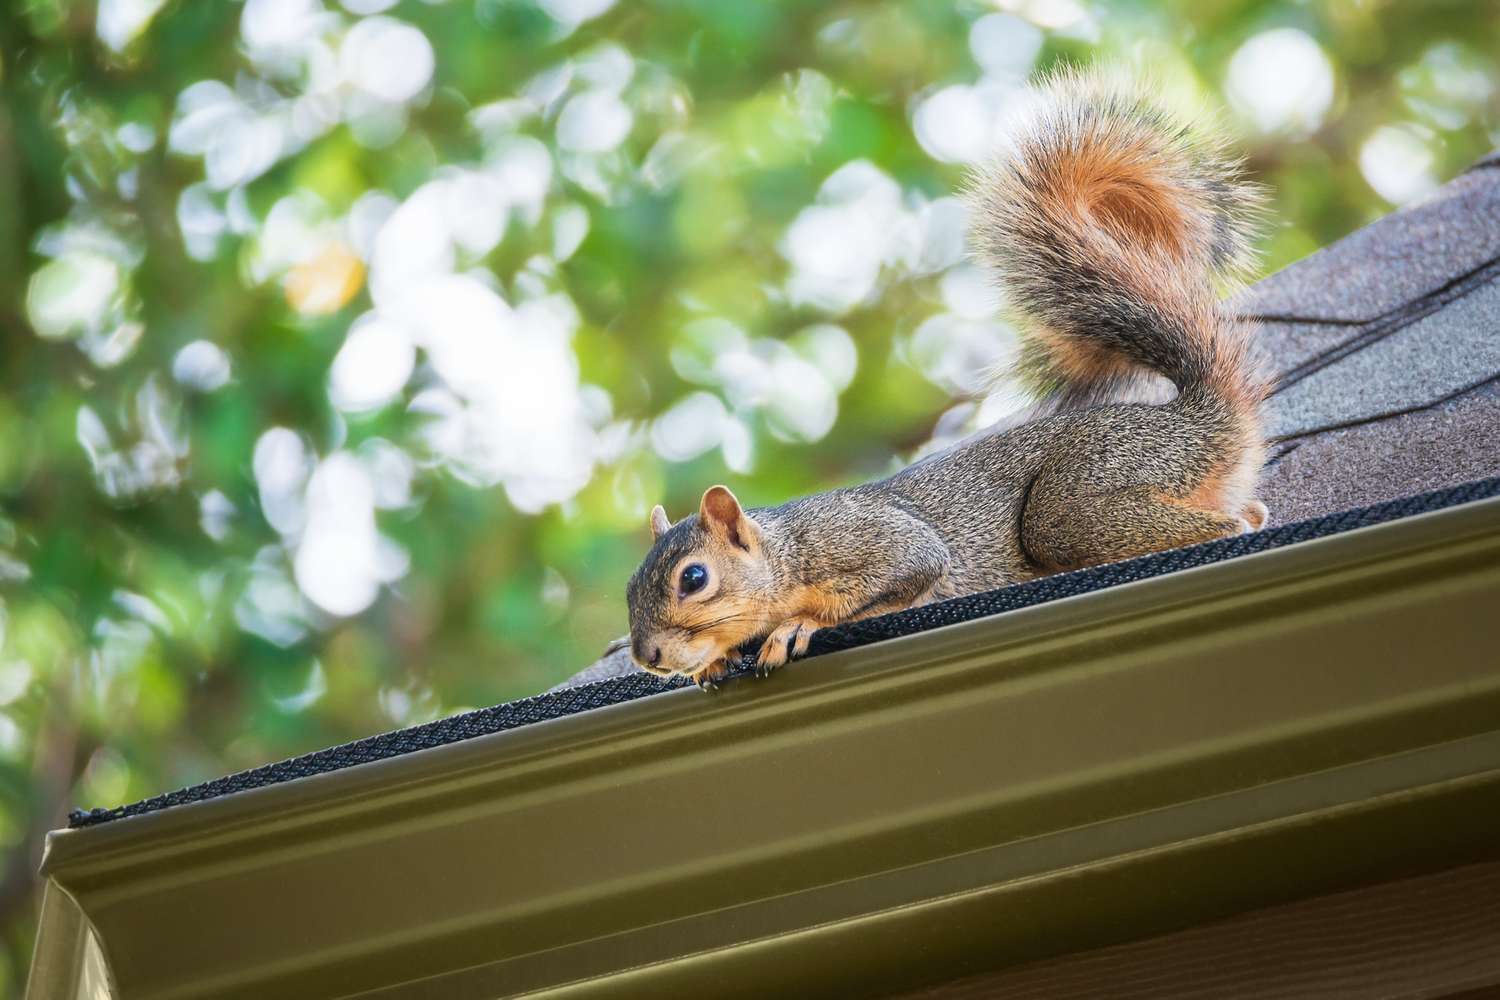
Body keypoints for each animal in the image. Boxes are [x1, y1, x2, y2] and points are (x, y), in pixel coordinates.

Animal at [625, 70, 1269, 690]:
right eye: (630, 589)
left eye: (694, 578)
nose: (647, 656)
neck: (788, 553)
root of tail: (1198, 420)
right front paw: (711, 663)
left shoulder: (875, 542)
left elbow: (905, 574)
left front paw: (795, 625)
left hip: (1082, 496)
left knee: (1224, 523)